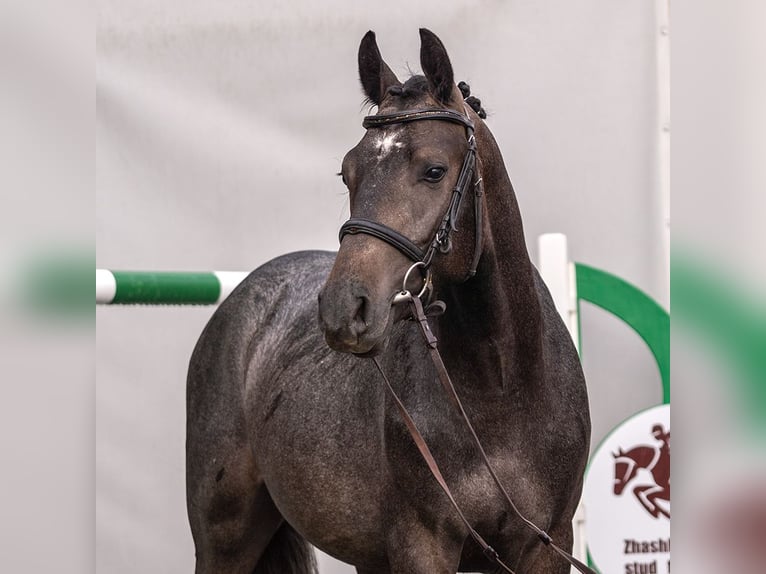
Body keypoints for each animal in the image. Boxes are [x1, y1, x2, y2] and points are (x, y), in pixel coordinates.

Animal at [186, 29, 591, 574]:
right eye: (346, 173)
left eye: (435, 170)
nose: (344, 309)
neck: (501, 390)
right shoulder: (422, 544)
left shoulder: (547, 544)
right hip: (224, 539)